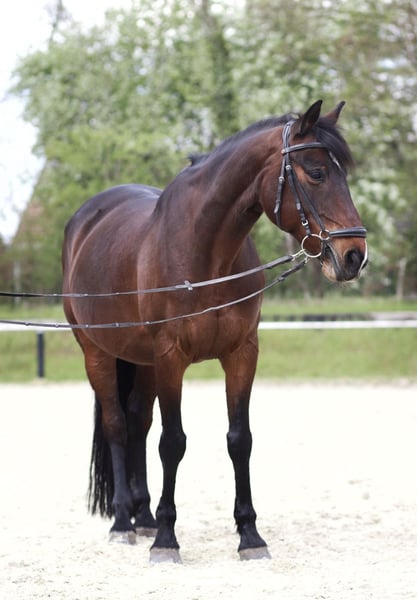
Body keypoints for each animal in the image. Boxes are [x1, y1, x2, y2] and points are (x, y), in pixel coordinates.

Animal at [62, 100, 367, 563]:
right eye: (315, 172)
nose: (354, 255)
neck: (205, 254)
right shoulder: (171, 357)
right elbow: (172, 442)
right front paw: (166, 539)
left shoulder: (241, 353)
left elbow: (239, 439)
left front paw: (250, 535)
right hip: (97, 353)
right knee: (117, 425)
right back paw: (123, 522)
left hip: (142, 361)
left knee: (137, 422)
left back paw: (142, 515)